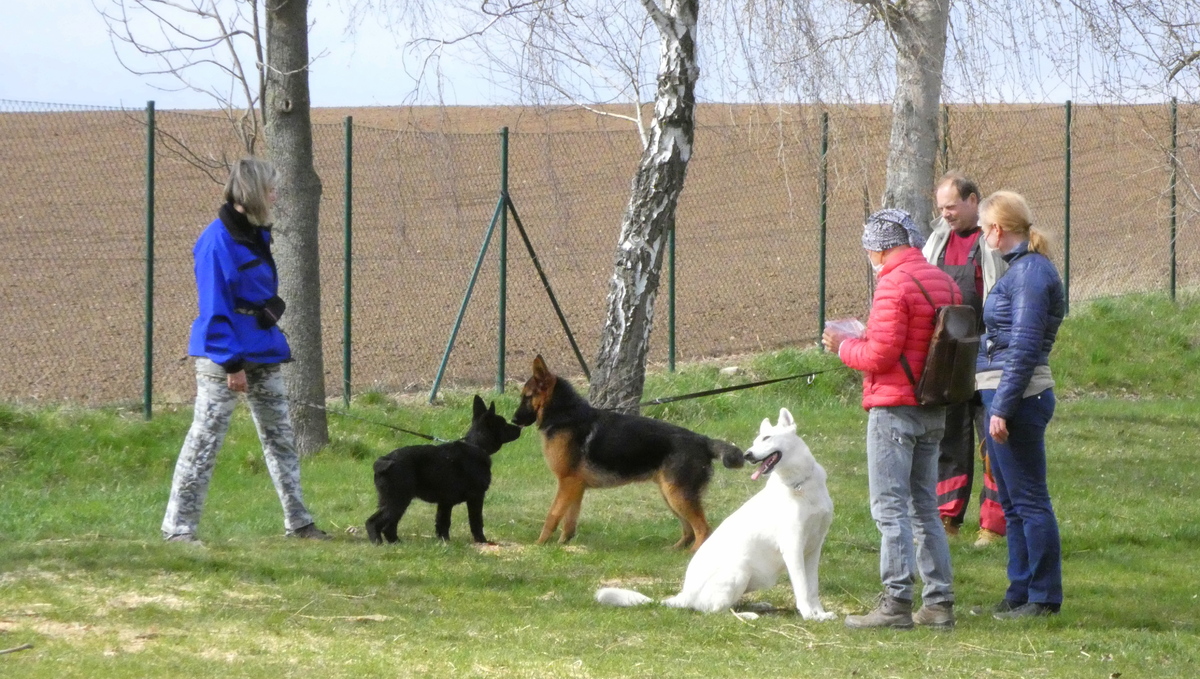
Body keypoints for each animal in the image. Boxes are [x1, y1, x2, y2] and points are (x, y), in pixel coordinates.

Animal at [365, 395, 521, 545]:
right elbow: (476, 522)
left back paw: (396, 542)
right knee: (373, 522)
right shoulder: (476, 497)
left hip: (394, 501)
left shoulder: (445, 503)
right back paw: (378, 542)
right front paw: (482, 541)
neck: (477, 445)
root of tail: (384, 460)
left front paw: (444, 541)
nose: (519, 427)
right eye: (503, 424)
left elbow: (442, 523)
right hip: (397, 500)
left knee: (389, 526)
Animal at [512, 355, 744, 551]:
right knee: (689, 530)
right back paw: (675, 550)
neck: (565, 414)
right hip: (671, 495)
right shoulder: (575, 486)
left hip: (677, 495)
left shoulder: (567, 482)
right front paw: (562, 543)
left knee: (703, 530)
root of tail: (703, 441)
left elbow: (552, 515)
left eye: (526, 397)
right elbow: (569, 520)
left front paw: (539, 545)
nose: (513, 421)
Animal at [595, 407, 836, 620]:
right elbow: (802, 589)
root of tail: (685, 595)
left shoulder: (813, 549)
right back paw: (749, 615)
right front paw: (809, 616)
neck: (800, 484)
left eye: (767, 438)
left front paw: (820, 613)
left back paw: (759, 606)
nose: (748, 455)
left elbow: (812, 588)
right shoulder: (792, 548)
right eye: (755, 441)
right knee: (716, 611)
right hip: (739, 570)